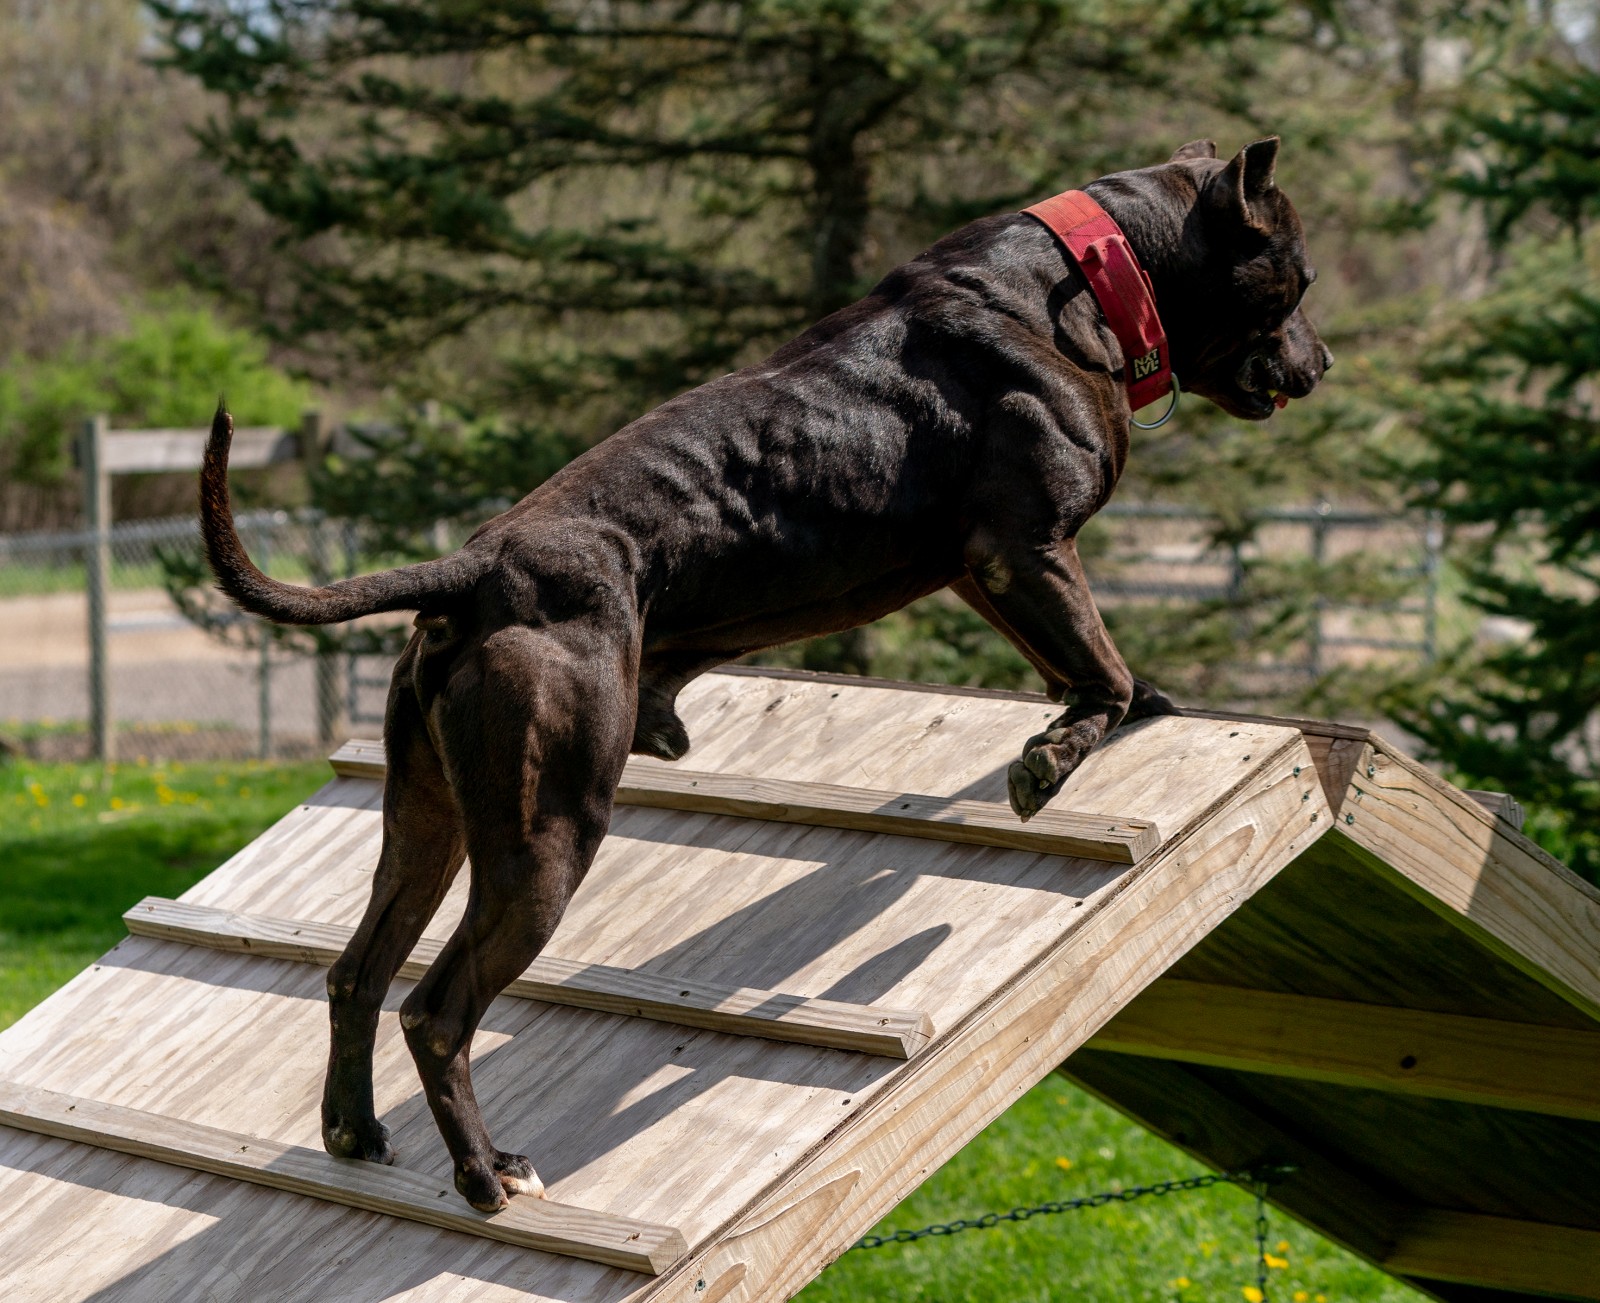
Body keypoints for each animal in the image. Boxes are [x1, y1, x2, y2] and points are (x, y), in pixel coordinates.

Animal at [200, 135, 1324, 1216]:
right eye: (1301, 276)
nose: (1322, 362)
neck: (1089, 274)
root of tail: (477, 570)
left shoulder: (987, 571)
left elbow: (1086, 662)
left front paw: (1123, 716)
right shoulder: (1025, 547)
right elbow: (1103, 668)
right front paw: (1049, 759)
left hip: (427, 814)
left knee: (356, 971)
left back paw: (353, 1132)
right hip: (546, 831)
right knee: (436, 1011)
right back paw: (488, 1174)